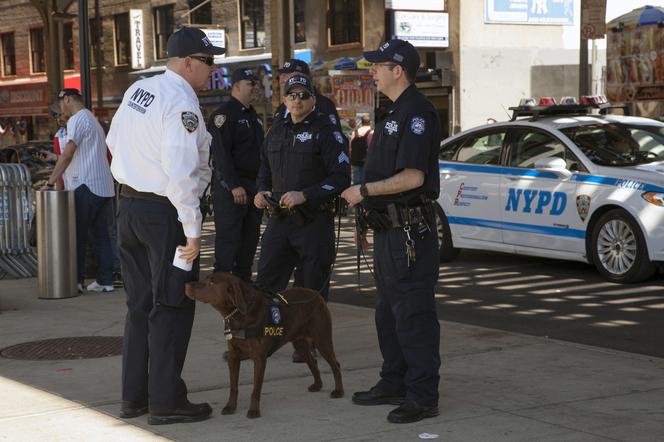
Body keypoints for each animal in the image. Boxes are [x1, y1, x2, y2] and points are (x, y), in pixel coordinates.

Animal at [185, 272, 344, 418]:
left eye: (211, 283)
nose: (186, 285)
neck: (240, 315)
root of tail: (317, 295)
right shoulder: (233, 356)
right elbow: (233, 386)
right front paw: (230, 406)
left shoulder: (259, 358)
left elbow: (256, 389)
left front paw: (254, 410)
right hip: (300, 343)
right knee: (313, 362)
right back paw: (317, 385)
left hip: (322, 339)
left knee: (335, 365)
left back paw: (339, 391)